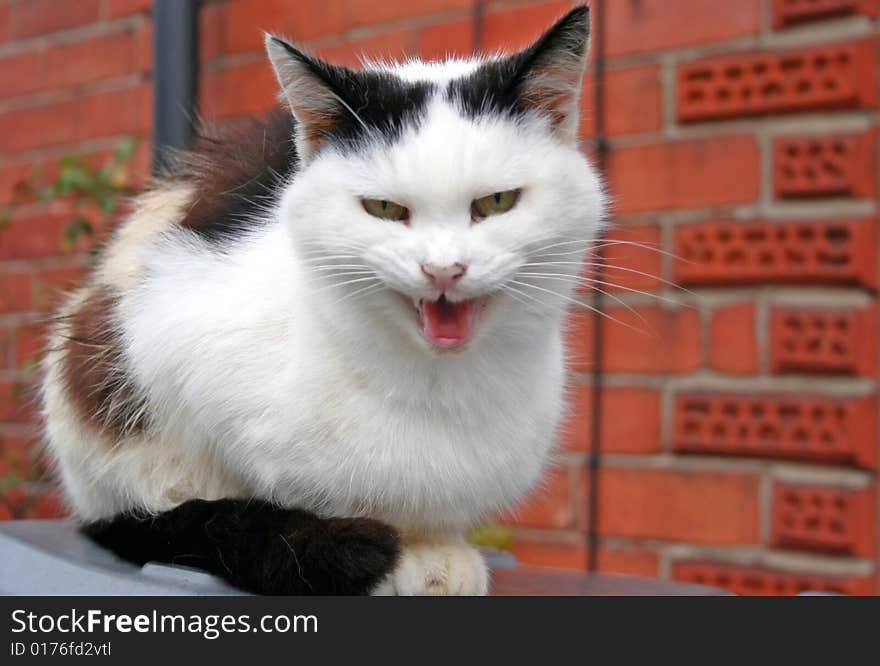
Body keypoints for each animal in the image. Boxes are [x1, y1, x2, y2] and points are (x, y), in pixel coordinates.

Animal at [41, 6, 604, 596]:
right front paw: (398, 552)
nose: (443, 269)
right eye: (383, 208)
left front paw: (438, 549)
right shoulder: (170, 326)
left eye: (496, 201)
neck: (437, 385)